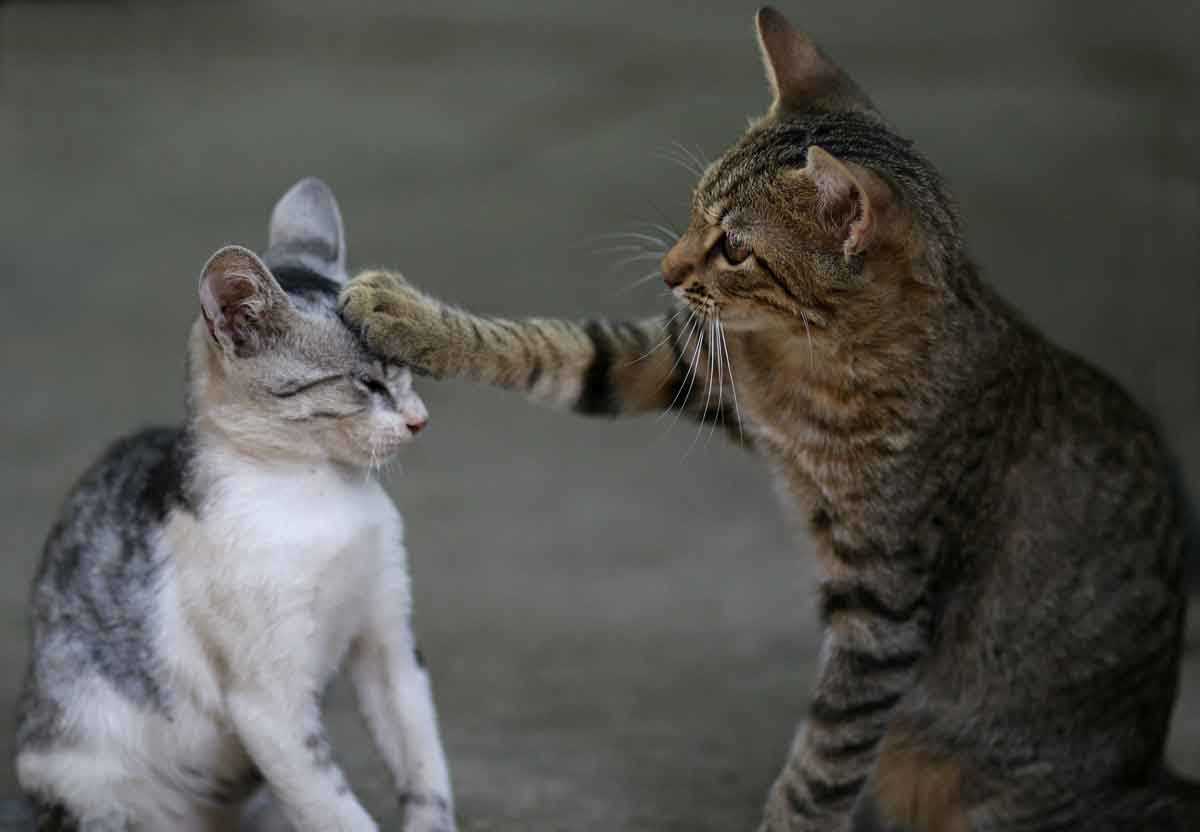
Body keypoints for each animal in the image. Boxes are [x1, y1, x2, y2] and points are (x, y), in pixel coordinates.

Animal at [16, 176, 456, 830]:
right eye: (368, 383)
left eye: (406, 373)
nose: (420, 419)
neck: (323, 494)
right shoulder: (267, 702)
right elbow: (333, 806)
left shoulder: (390, 641)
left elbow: (423, 761)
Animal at [333, 6, 1195, 830]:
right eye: (692, 210)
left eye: (736, 249)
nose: (667, 270)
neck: (809, 364)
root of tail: (1145, 768)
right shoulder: (689, 364)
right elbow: (548, 346)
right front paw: (408, 317)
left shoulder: (883, 604)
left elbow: (824, 763)